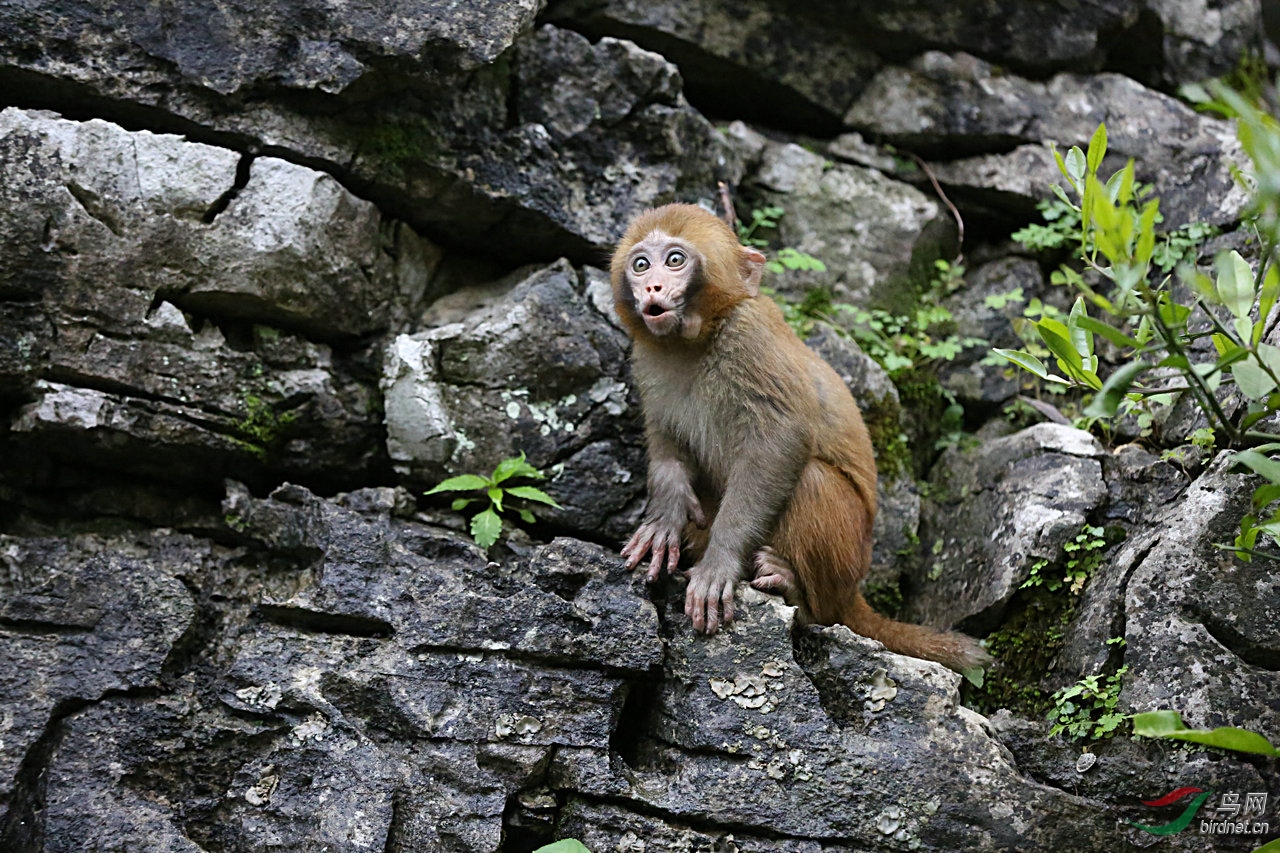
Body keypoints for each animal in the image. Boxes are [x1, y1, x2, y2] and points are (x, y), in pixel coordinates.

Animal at [609, 201, 988, 671]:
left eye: (675, 259)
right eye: (641, 264)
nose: (652, 286)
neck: (693, 341)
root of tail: (851, 592)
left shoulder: (750, 338)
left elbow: (779, 441)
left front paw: (719, 563)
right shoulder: (646, 359)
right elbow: (666, 444)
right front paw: (665, 517)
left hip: (845, 558)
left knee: (812, 481)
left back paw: (797, 594)